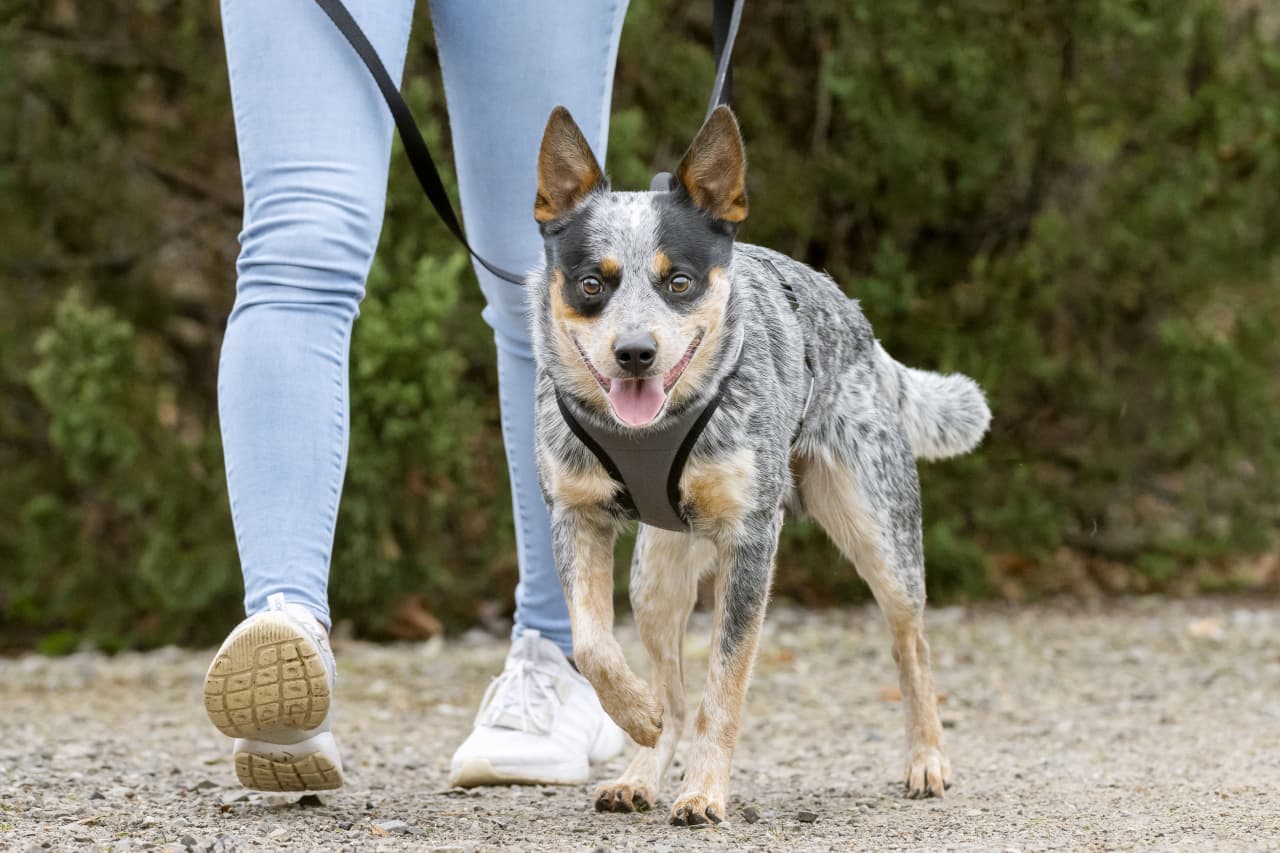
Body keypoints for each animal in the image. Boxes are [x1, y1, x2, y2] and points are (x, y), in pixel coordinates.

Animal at [524, 101, 983, 824]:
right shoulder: (576, 514)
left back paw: (926, 758)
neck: (651, 429)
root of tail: (856, 319)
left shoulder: (751, 539)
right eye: (592, 283)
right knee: (669, 681)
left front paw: (706, 790)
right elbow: (594, 646)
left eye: (679, 281)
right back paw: (642, 769)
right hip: (655, 576)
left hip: (880, 535)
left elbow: (725, 682)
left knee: (911, 642)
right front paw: (638, 719)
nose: (634, 354)